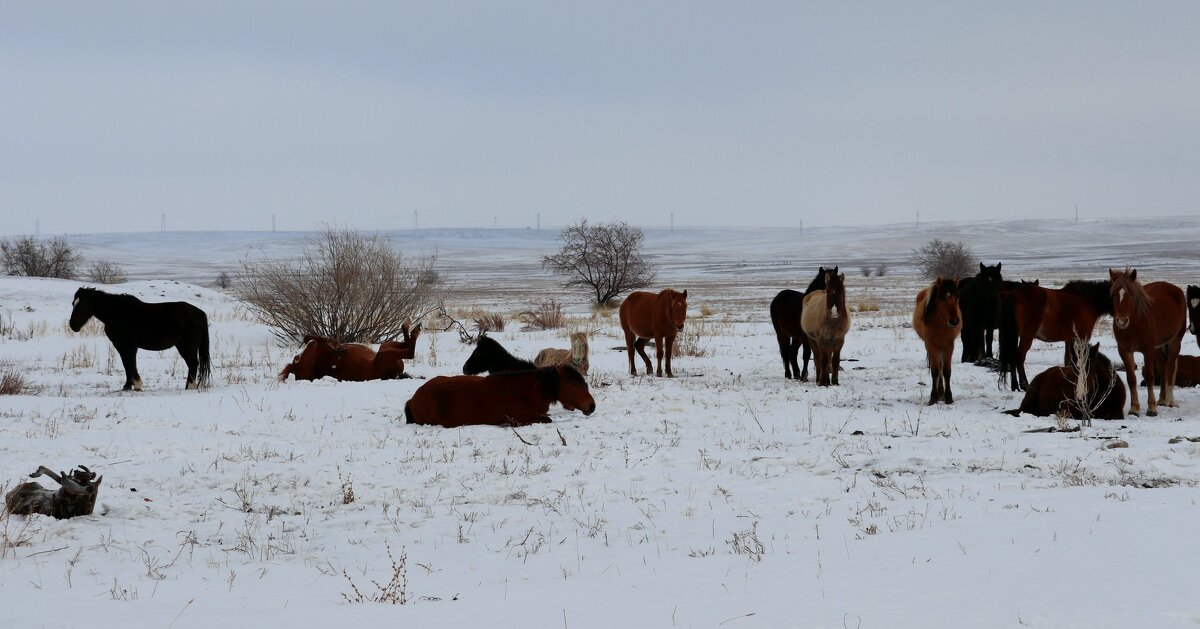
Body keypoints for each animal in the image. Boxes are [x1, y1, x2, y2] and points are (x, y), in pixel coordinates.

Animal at [67, 286, 211, 391]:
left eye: (83, 304)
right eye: (73, 303)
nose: (73, 325)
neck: (117, 314)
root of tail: (200, 313)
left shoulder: (130, 345)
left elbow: (131, 363)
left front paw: (137, 385)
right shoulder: (119, 345)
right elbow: (126, 364)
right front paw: (127, 386)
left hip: (188, 345)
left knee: (193, 363)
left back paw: (190, 386)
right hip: (181, 345)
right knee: (191, 364)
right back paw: (188, 386)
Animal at [405, 362, 597, 427]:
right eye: (573, 384)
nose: (592, 406)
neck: (524, 392)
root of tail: (414, 398)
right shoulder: (520, 418)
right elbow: (547, 419)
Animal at [912, 277, 960, 405]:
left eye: (957, 298)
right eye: (943, 299)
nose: (954, 321)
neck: (940, 324)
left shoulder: (949, 346)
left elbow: (946, 371)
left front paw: (948, 397)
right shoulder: (931, 345)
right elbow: (935, 371)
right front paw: (933, 398)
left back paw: (942, 393)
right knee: (938, 368)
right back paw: (939, 393)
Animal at [1108, 266, 1185, 417]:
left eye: (1131, 294)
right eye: (1113, 293)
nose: (1122, 321)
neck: (1136, 323)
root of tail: (1175, 289)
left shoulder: (1148, 349)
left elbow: (1150, 376)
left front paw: (1151, 408)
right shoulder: (1124, 350)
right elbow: (1131, 378)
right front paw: (1134, 408)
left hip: (1175, 341)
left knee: (1170, 367)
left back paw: (1169, 401)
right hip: (1159, 347)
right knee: (1162, 369)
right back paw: (1161, 399)